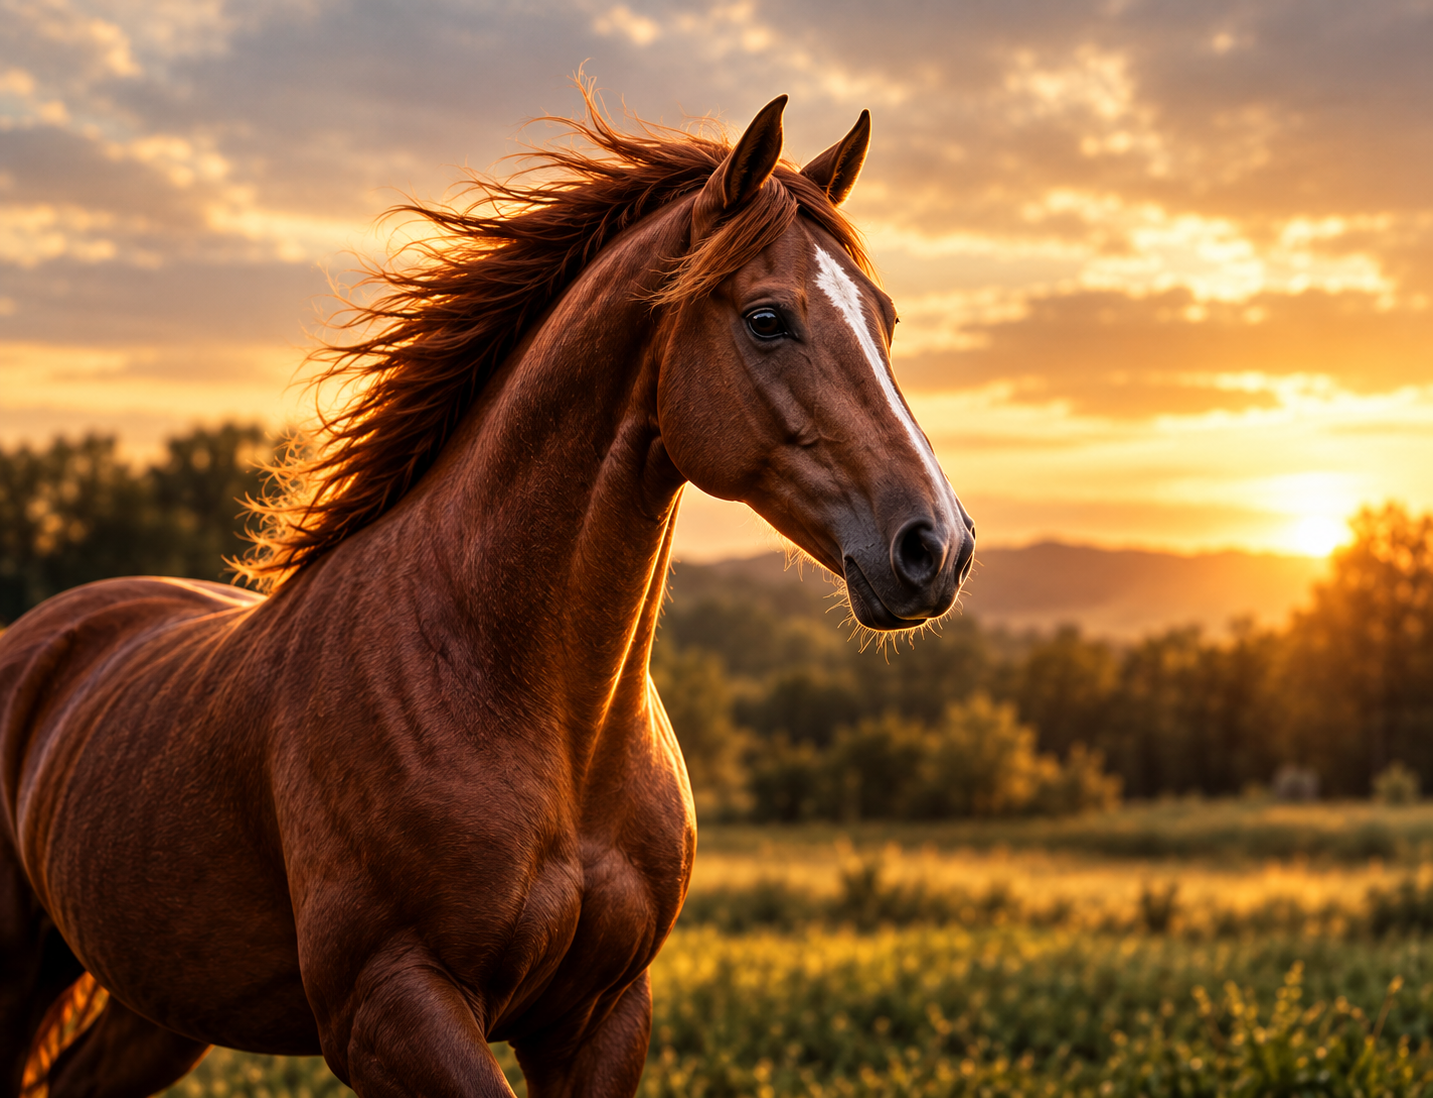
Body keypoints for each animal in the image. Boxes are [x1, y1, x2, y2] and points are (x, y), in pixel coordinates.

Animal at [0, 94, 974, 1098]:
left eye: (885, 318)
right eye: (768, 318)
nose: (934, 545)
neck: (542, 712)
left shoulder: (598, 1015)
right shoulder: (390, 1007)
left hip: (161, 1002)